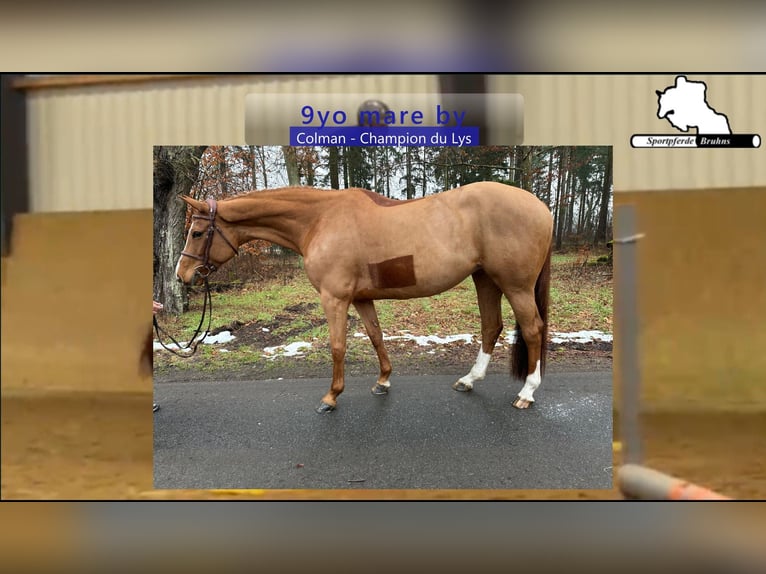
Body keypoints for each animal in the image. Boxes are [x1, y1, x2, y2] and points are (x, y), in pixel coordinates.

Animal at [173, 181, 553, 414]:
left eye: (197, 232)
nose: (182, 275)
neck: (319, 220)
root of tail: (541, 206)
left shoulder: (335, 298)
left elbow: (338, 346)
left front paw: (331, 397)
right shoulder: (360, 298)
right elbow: (375, 335)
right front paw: (383, 381)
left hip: (515, 285)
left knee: (533, 329)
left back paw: (527, 392)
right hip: (485, 278)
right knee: (491, 326)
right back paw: (469, 380)